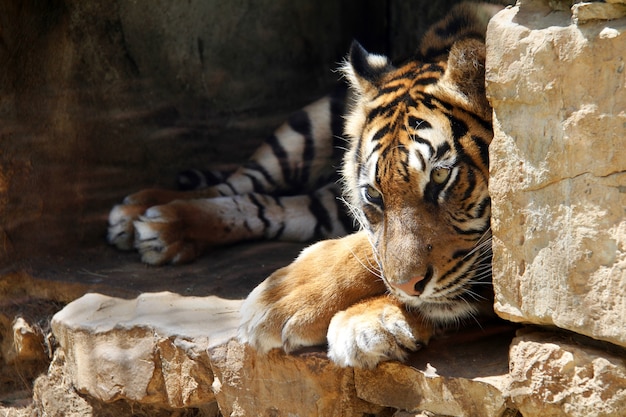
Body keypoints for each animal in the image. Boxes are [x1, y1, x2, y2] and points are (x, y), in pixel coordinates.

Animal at [107, 3, 498, 368]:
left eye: (440, 177)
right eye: (373, 195)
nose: (408, 288)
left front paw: (363, 319)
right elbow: (364, 248)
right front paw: (285, 299)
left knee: (270, 206)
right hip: (306, 129)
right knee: (244, 185)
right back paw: (146, 214)